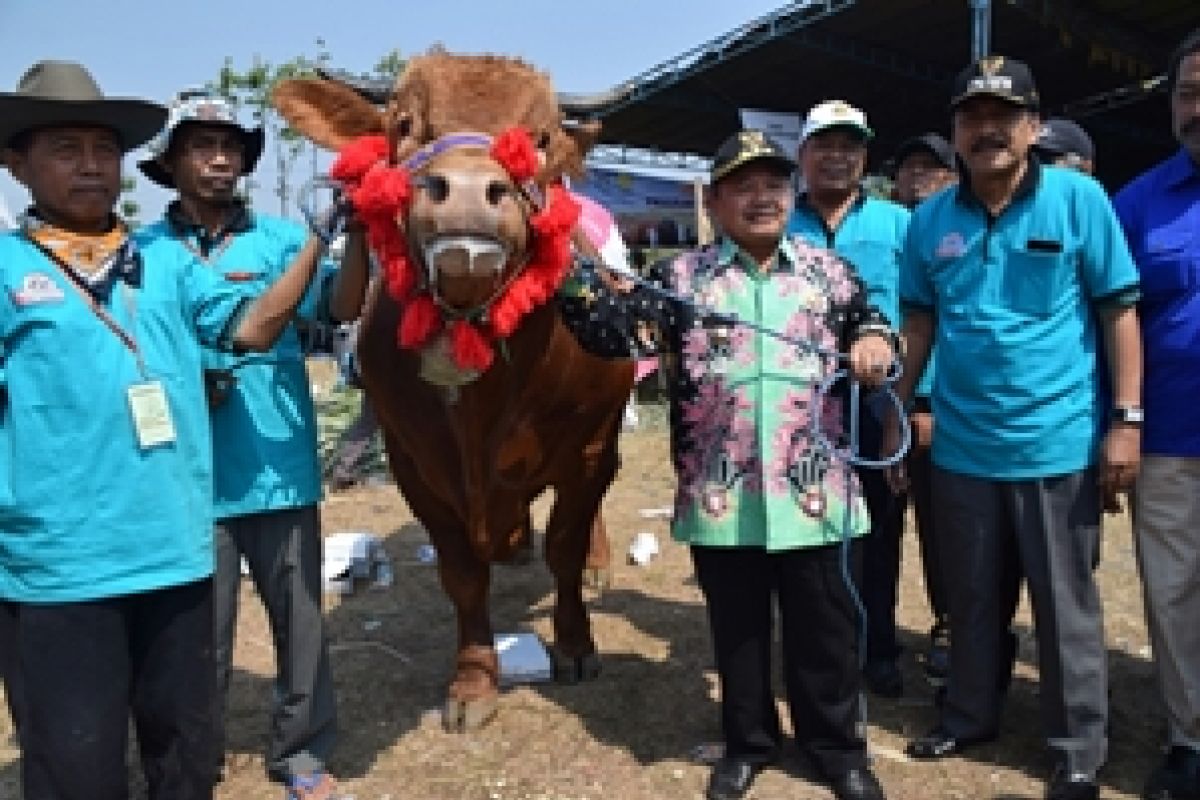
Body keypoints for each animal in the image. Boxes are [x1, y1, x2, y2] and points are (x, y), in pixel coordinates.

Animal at [276, 47, 638, 729]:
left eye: (541, 139)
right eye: (403, 125)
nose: (468, 192)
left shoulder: (584, 445)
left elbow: (567, 546)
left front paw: (576, 643)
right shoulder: (415, 462)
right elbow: (462, 574)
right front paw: (473, 682)